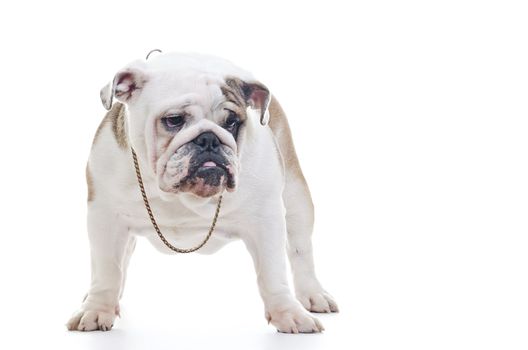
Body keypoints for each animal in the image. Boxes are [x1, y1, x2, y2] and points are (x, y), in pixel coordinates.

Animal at [67, 52, 338, 334]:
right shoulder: (105, 217)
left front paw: (288, 314)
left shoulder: (267, 219)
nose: (209, 139)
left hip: (297, 199)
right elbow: (107, 269)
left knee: (300, 249)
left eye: (232, 122)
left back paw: (313, 294)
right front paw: (97, 309)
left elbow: (273, 272)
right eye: (174, 120)